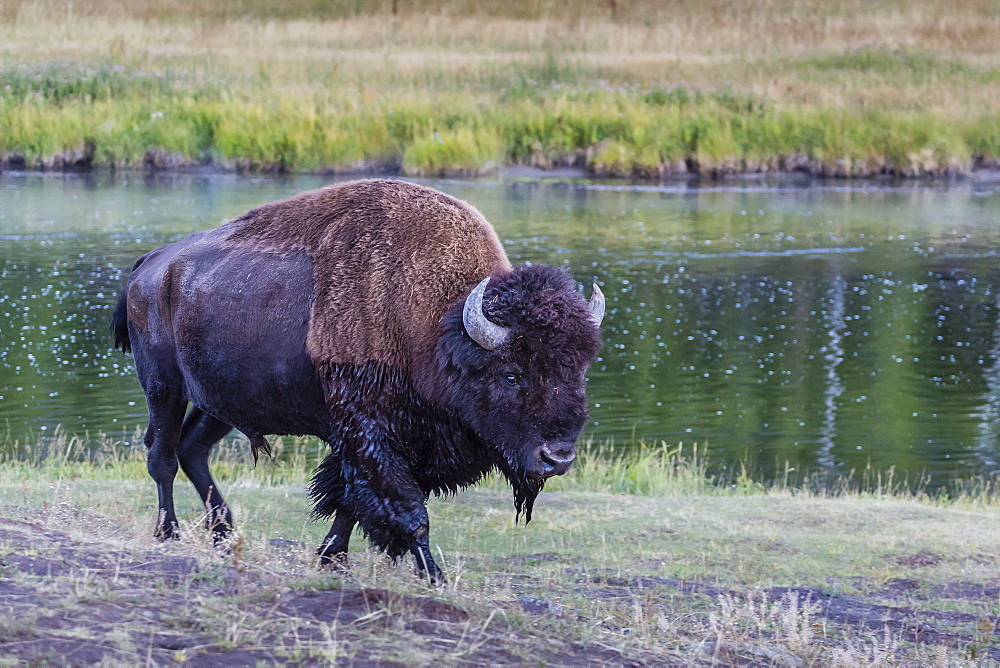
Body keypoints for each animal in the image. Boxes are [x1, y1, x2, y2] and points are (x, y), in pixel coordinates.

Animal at [113, 179, 604, 580]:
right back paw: (169, 534)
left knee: (192, 448)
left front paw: (332, 557)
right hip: (163, 387)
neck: (435, 326)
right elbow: (405, 509)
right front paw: (434, 576)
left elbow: (350, 501)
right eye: (510, 374)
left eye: (578, 370)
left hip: (222, 401)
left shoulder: (402, 442)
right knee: (162, 455)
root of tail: (151, 264)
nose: (557, 457)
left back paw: (224, 535)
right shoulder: (370, 433)